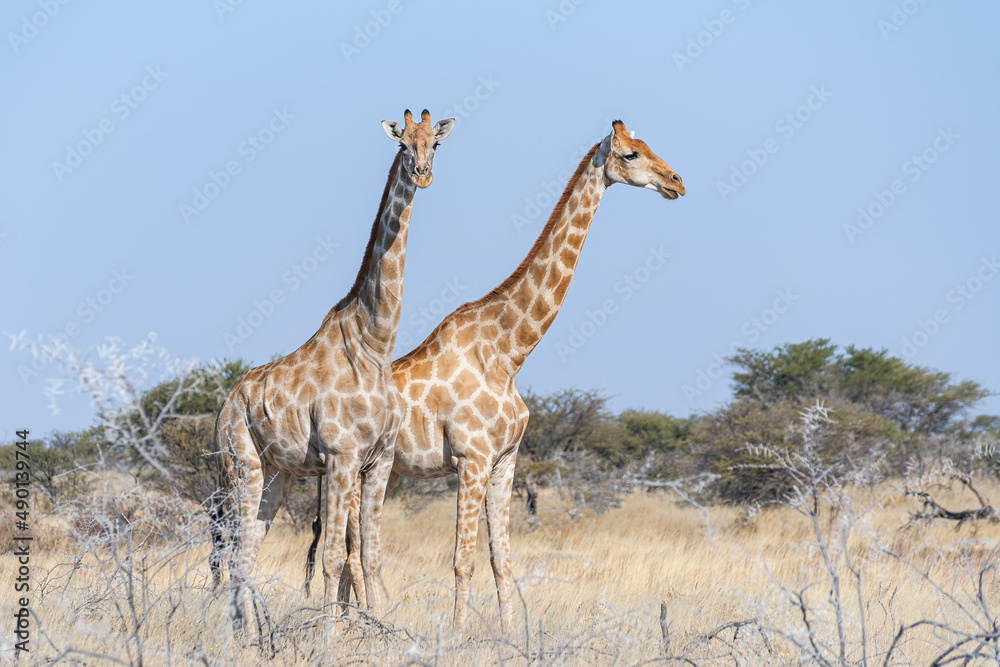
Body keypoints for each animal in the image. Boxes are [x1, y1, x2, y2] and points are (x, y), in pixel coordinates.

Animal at [209, 109, 455, 633]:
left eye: (435, 144)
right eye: (403, 144)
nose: (423, 174)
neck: (375, 343)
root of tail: (225, 404)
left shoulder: (378, 461)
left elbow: (371, 555)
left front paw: (379, 633)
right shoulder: (342, 456)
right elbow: (334, 557)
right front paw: (328, 637)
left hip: (277, 475)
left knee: (248, 553)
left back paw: (251, 638)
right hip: (242, 465)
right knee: (235, 553)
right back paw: (240, 638)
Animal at [304, 120, 685, 630]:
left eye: (646, 146)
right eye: (630, 154)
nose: (676, 182)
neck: (510, 351)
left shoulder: (506, 460)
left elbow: (501, 558)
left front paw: (508, 633)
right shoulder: (472, 458)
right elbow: (462, 559)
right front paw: (458, 633)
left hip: (371, 472)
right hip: (350, 468)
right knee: (345, 550)